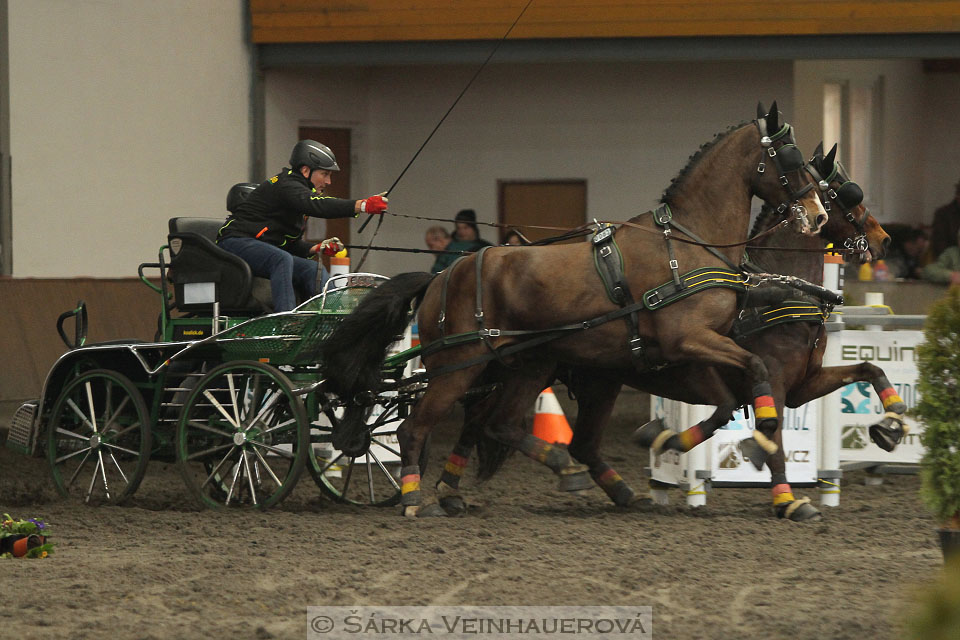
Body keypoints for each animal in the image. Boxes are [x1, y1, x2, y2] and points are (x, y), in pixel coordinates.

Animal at [322, 104, 824, 516]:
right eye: (792, 157)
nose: (816, 214)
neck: (686, 242)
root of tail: (443, 275)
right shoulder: (688, 340)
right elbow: (756, 370)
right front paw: (762, 439)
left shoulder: (693, 348)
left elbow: (725, 403)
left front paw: (669, 438)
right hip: (458, 366)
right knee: (416, 427)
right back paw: (414, 498)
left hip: (528, 364)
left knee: (500, 424)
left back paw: (565, 475)